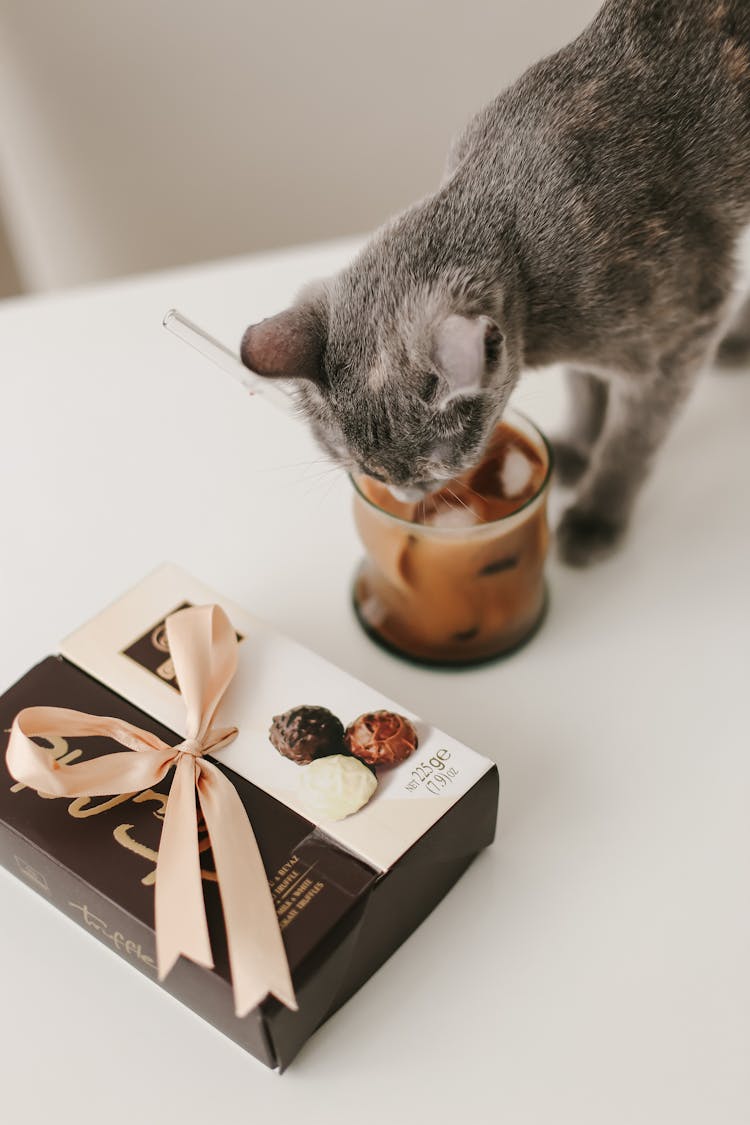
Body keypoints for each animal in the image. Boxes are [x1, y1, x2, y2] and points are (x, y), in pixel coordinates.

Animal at [241, 0, 750, 562]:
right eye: (364, 468)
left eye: (432, 466)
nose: (405, 493)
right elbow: (586, 390)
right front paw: (576, 449)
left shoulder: (679, 340)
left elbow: (630, 443)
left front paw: (596, 514)